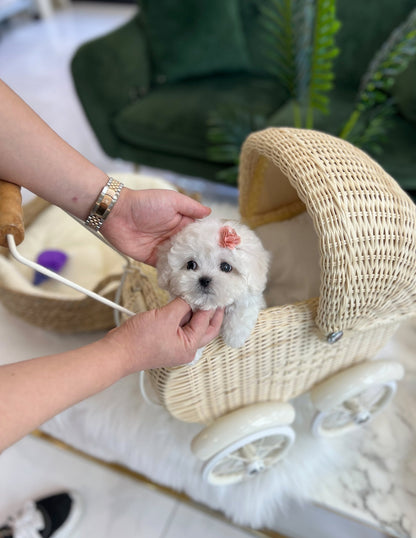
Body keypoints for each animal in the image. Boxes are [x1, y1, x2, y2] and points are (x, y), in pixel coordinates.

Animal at [156, 217, 270, 348]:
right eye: (191, 265)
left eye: (226, 267)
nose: (204, 280)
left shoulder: (251, 296)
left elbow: (243, 308)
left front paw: (235, 337)